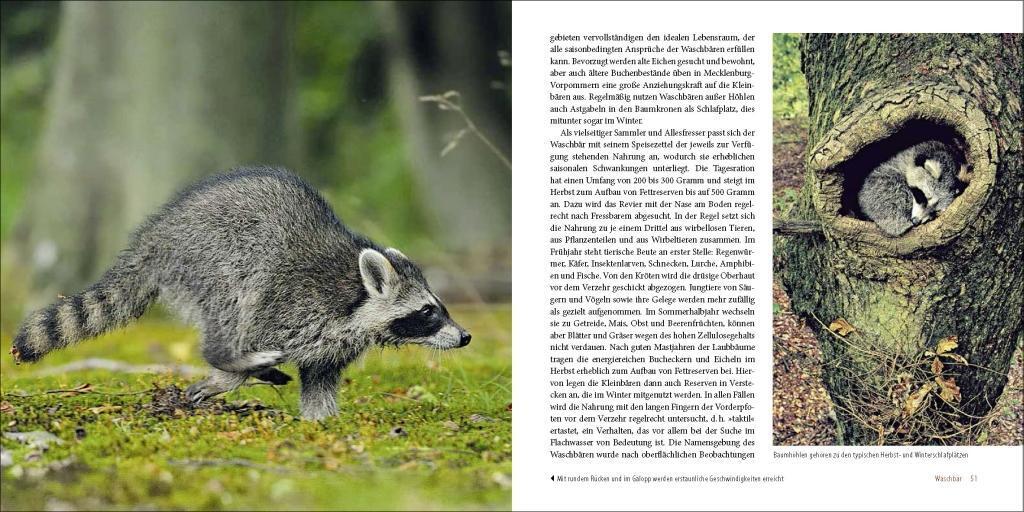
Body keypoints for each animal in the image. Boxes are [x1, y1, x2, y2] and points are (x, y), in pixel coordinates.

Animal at [11, 167, 471, 419]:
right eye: (428, 312)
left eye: (439, 306)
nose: (465, 336)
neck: (353, 295)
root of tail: (155, 236)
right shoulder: (296, 303)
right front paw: (229, 372)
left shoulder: (329, 345)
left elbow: (319, 383)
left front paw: (322, 424)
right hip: (216, 258)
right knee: (233, 309)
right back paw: (235, 361)